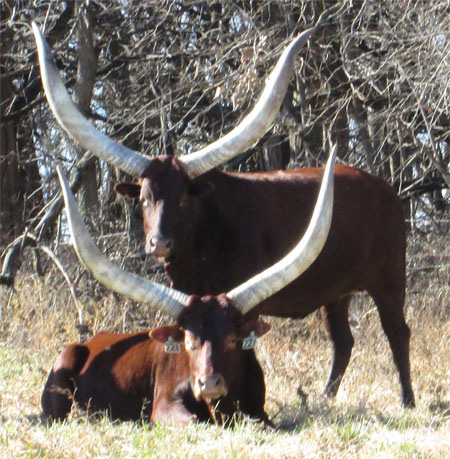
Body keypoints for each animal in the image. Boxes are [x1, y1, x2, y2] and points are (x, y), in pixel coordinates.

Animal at [42, 146, 336, 424]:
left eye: (232, 340)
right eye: (189, 341)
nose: (209, 383)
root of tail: (92, 341)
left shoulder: (260, 412)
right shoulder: (164, 407)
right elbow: (194, 420)